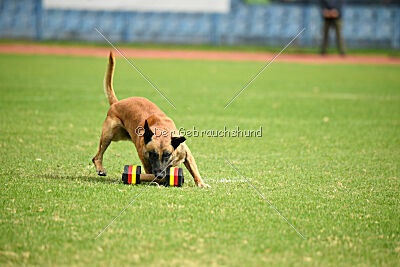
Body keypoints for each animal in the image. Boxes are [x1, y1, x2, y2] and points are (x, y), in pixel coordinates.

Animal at [91, 51, 209, 188]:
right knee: (97, 156)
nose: (159, 174)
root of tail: (117, 103)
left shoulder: (186, 153)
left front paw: (201, 183)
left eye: (167, 155)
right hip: (109, 135)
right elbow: (152, 176)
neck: (162, 129)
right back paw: (100, 168)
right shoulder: (148, 165)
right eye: (152, 154)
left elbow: (194, 169)